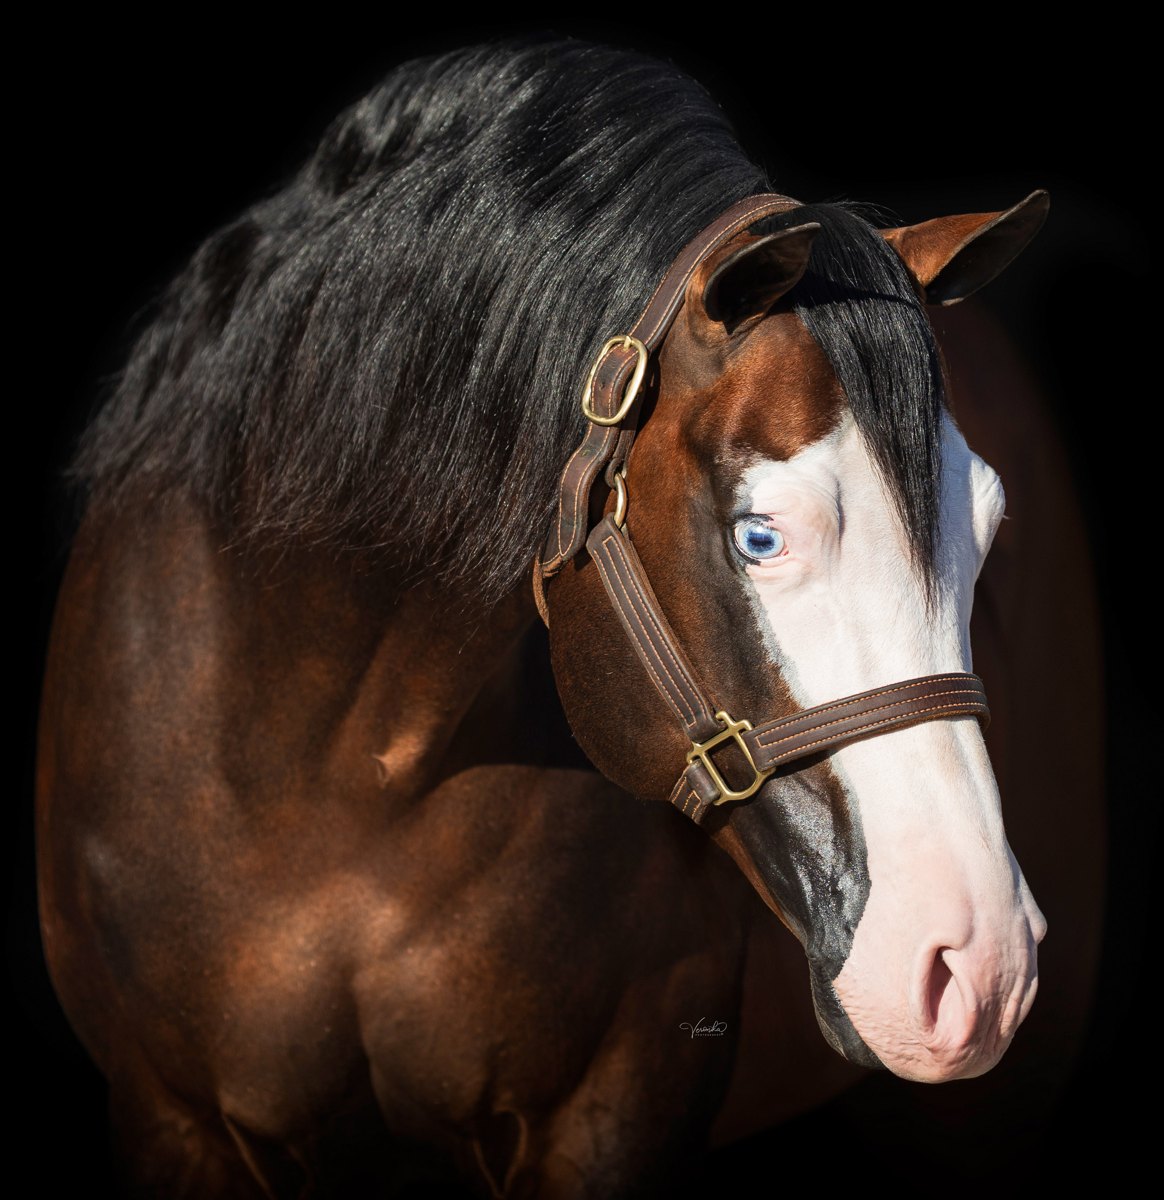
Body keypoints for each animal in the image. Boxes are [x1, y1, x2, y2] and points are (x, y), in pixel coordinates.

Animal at [37, 39, 1104, 1197]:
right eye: (759, 536)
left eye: (987, 527)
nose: (979, 965)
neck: (334, 783)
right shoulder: (172, 1118)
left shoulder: (603, 1120)